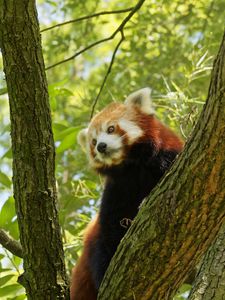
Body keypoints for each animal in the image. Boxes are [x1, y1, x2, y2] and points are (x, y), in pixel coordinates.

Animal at [70, 88, 183, 298]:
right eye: (93, 142)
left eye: (111, 129)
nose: (101, 146)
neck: (132, 166)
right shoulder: (117, 190)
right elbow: (111, 228)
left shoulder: (168, 156)